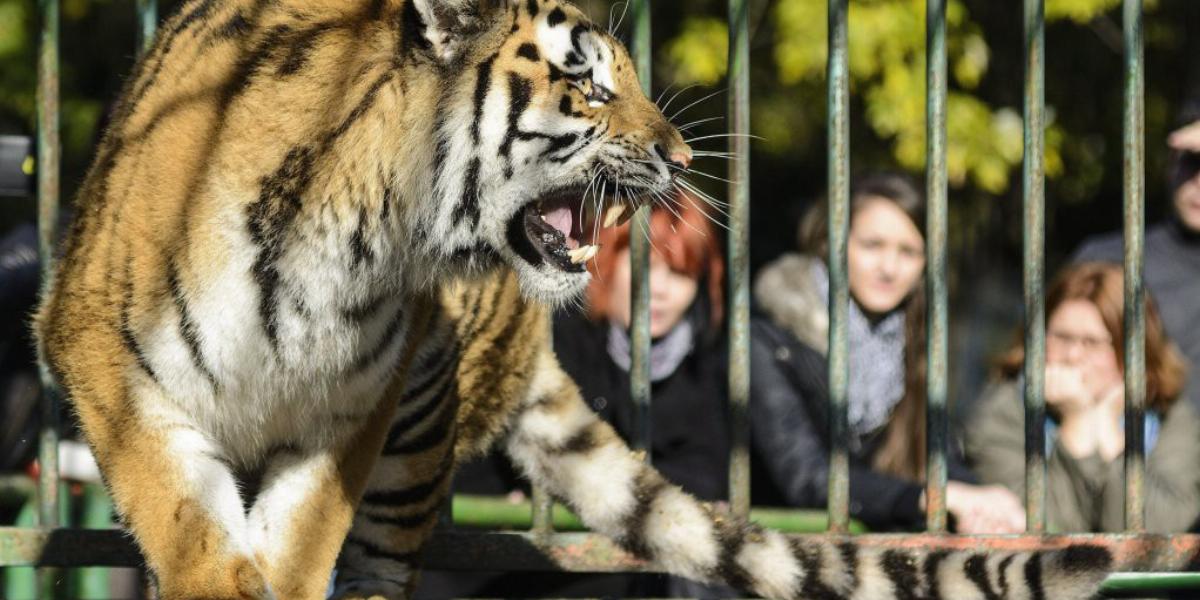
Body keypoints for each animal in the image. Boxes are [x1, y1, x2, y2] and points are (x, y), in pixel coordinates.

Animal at [28, 0, 1108, 595]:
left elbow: (298, 550)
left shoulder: (348, 415)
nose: (681, 158)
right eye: (587, 85)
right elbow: (179, 519)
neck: (357, 240)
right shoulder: (106, 359)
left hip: (420, 424)